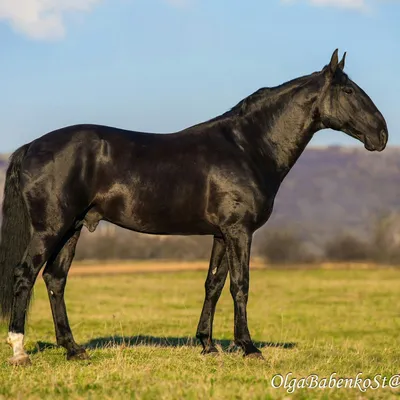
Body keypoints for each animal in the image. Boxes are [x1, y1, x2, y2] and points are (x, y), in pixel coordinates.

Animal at [0, 49, 388, 366]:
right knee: (25, 275)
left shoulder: (221, 233)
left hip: (73, 227)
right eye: (349, 92)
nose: (382, 135)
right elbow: (240, 284)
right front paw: (248, 347)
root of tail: (30, 146)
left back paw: (73, 349)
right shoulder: (239, 231)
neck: (247, 147)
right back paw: (19, 350)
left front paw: (207, 345)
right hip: (50, 228)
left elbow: (213, 284)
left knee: (55, 279)